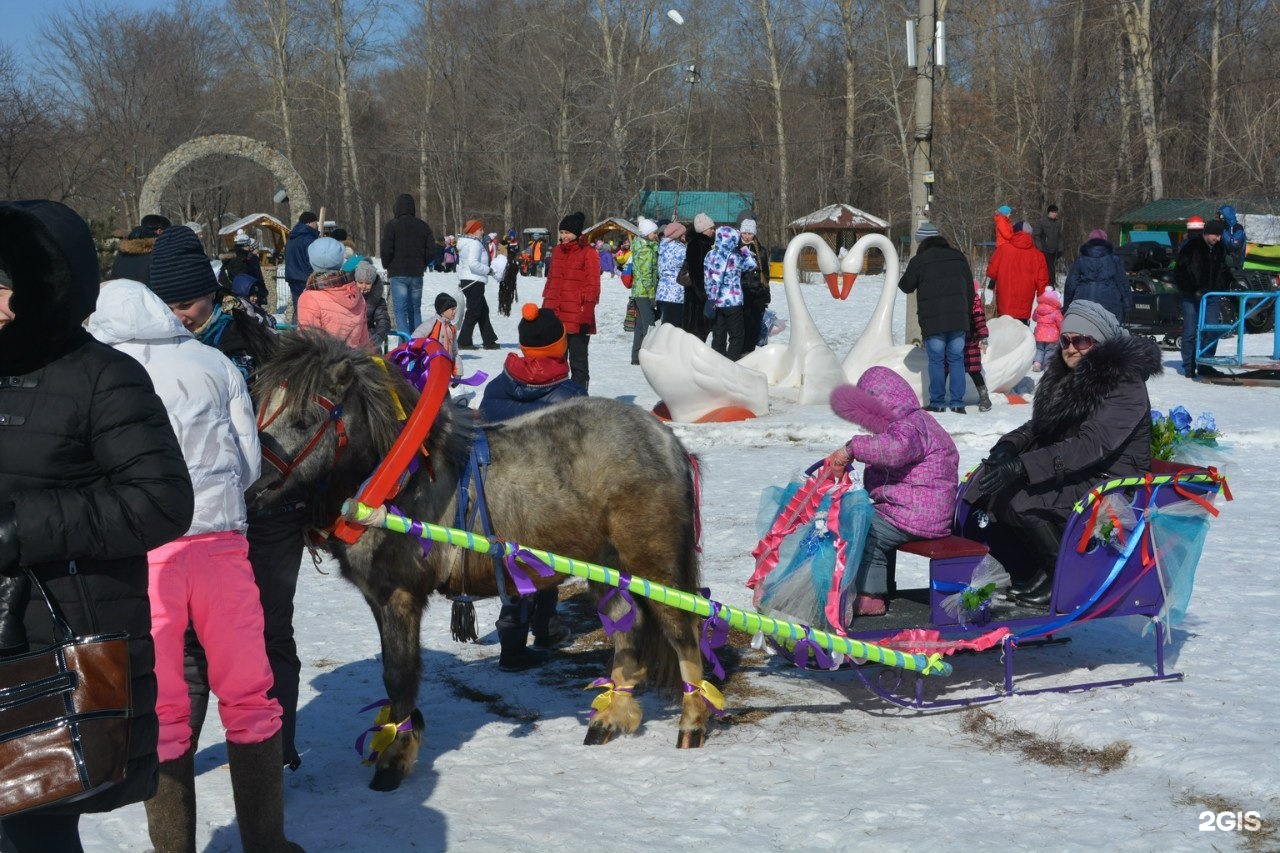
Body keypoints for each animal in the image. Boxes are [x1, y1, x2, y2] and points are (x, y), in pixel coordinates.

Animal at [249, 327, 711, 788]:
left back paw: (691, 724)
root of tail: (667, 440)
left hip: (654, 565)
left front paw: (394, 758)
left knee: (682, 631)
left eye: (304, 420)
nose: (255, 488)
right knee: (626, 630)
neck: (397, 480)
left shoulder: (399, 596)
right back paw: (609, 719)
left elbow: (399, 675)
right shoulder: (378, 599)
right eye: (259, 412)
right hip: (609, 569)